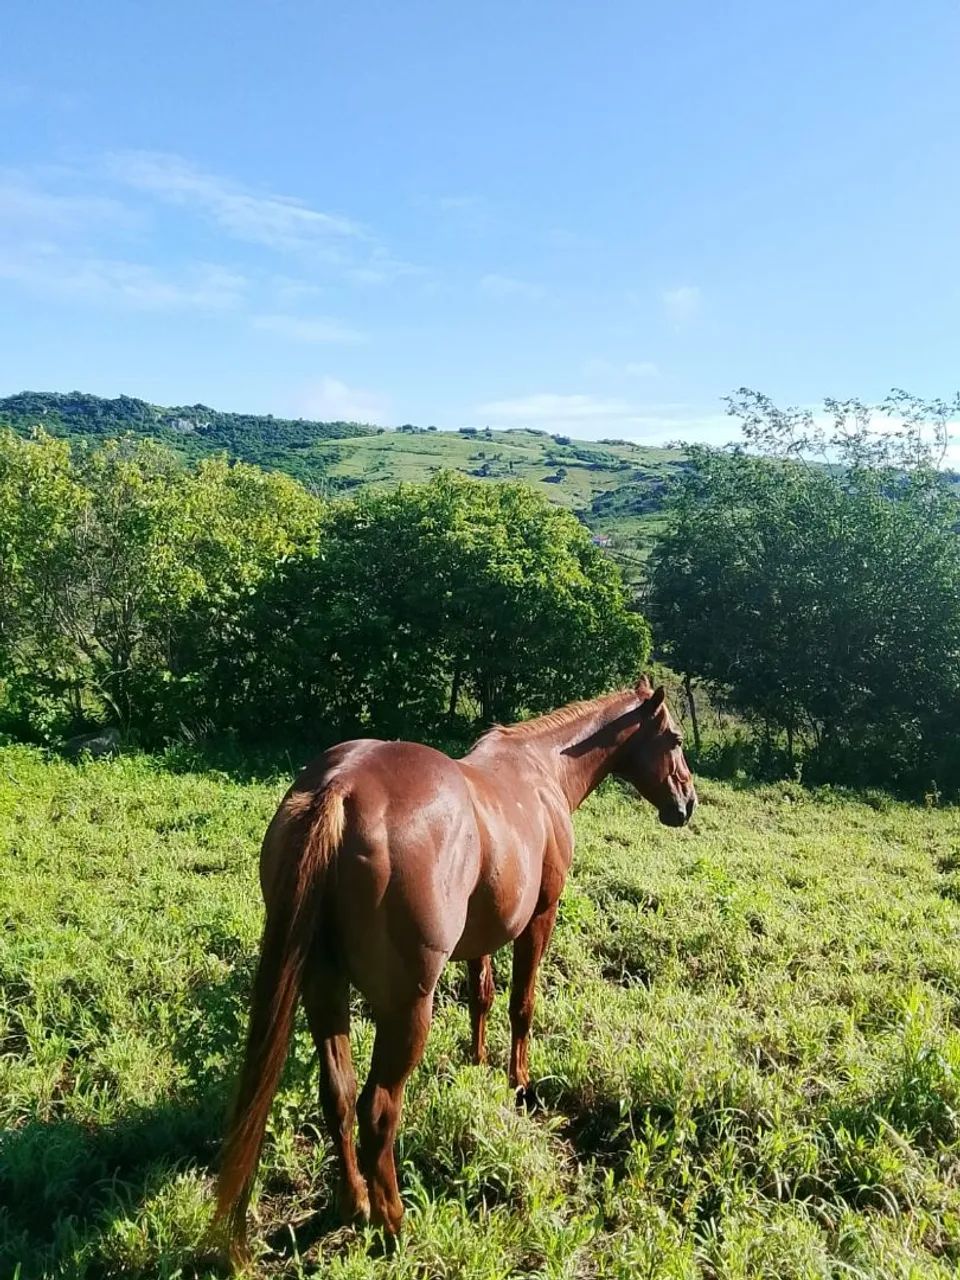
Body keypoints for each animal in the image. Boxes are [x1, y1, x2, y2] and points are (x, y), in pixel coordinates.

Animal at [214, 677, 696, 1262]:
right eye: (674, 738)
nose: (687, 802)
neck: (543, 769)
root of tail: (341, 789)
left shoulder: (481, 935)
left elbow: (481, 997)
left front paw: (477, 1061)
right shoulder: (539, 919)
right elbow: (521, 1005)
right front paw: (517, 1082)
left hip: (324, 990)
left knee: (340, 1096)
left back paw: (354, 1204)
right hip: (406, 1008)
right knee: (377, 1110)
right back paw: (392, 1222)